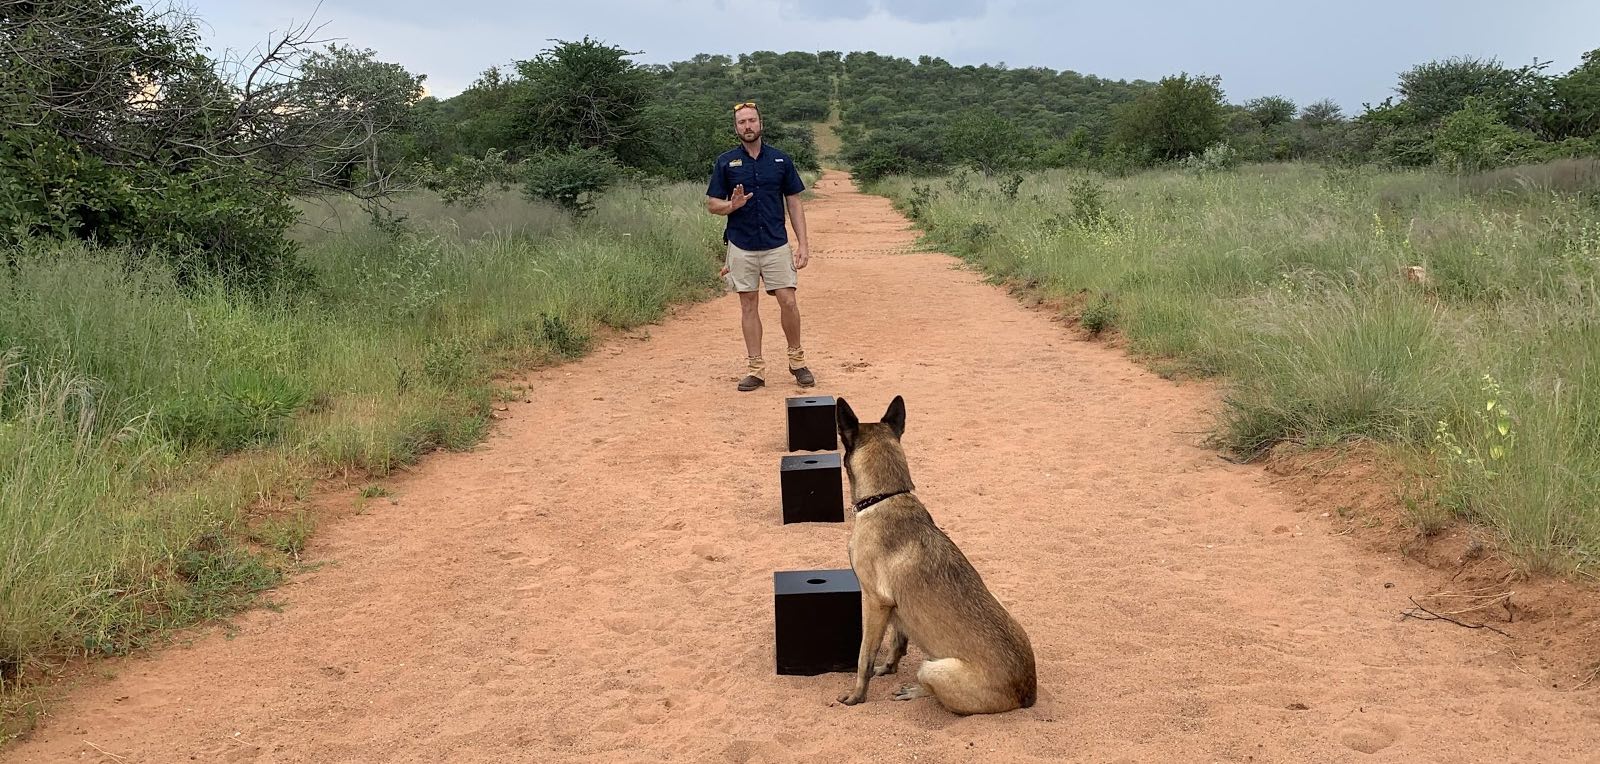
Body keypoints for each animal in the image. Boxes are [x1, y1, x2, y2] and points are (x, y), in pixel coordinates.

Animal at [832, 396, 1043, 712]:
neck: (887, 496)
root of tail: (1027, 691)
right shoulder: (895, 606)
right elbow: (898, 641)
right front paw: (889, 668)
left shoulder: (874, 602)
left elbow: (864, 658)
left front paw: (858, 695)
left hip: (932, 668)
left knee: (932, 689)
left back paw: (914, 691)